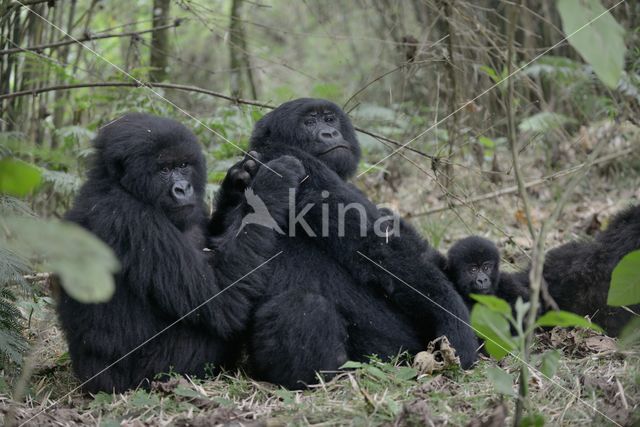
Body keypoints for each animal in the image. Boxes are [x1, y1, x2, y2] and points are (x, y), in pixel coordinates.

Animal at [57, 112, 302, 392]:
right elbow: (224, 298)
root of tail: (88, 380)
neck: (116, 184)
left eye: (183, 165)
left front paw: (239, 180)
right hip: (141, 379)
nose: (183, 189)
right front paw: (275, 183)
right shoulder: (130, 218)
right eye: (164, 170)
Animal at [212, 98, 478, 390]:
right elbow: (380, 250)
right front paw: (457, 329)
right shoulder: (296, 163)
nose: (330, 133)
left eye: (329, 119)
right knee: (303, 304)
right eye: (309, 123)